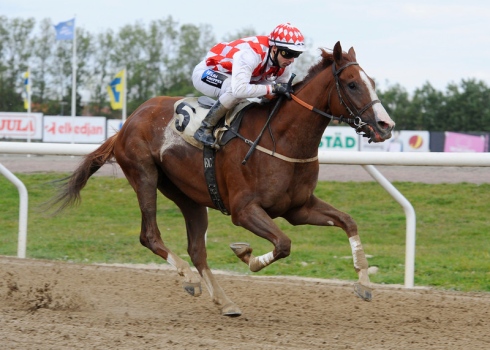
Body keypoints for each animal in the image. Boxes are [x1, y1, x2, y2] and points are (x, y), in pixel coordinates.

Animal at [54, 41, 394, 318]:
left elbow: (348, 221)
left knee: (196, 249)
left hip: (188, 195)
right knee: (149, 235)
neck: (282, 140)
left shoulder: (298, 208)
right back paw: (190, 279)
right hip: (144, 175)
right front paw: (245, 254)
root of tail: (128, 122)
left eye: (372, 82)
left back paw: (224, 301)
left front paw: (364, 284)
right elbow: (283, 244)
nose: (385, 126)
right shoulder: (244, 210)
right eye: (352, 84)